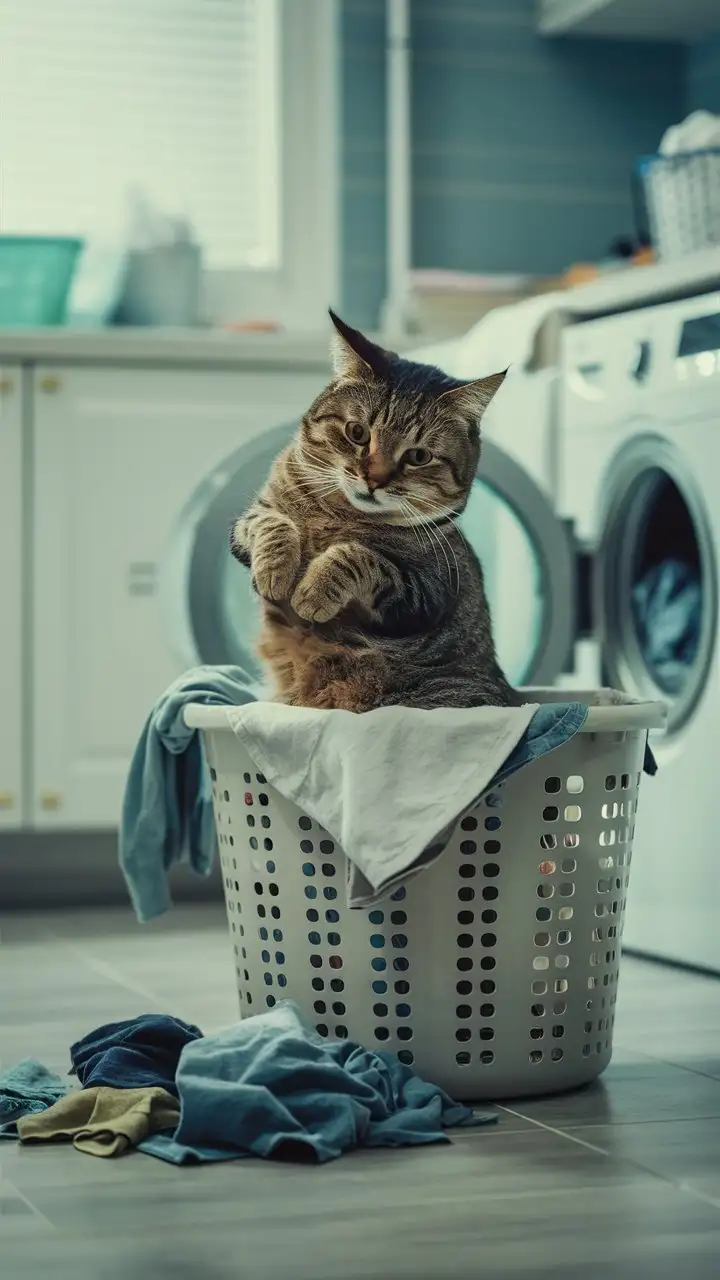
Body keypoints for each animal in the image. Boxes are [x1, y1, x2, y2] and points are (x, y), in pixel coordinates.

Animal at [233, 309, 517, 711]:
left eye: (418, 456)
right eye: (357, 433)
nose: (374, 479)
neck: (337, 516)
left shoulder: (424, 593)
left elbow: (360, 556)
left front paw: (314, 592)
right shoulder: (252, 518)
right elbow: (274, 524)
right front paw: (276, 572)